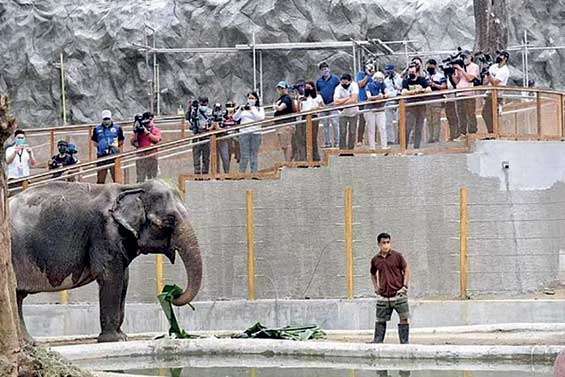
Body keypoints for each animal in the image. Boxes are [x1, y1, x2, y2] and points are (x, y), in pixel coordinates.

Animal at [9, 179, 202, 340]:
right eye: (168, 221)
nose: (172, 293)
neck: (132, 187)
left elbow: (124, 279)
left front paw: (122, 336)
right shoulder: (104, 232)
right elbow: (110, 277)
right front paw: (113, 339)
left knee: (17, 297)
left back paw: (29, 342)